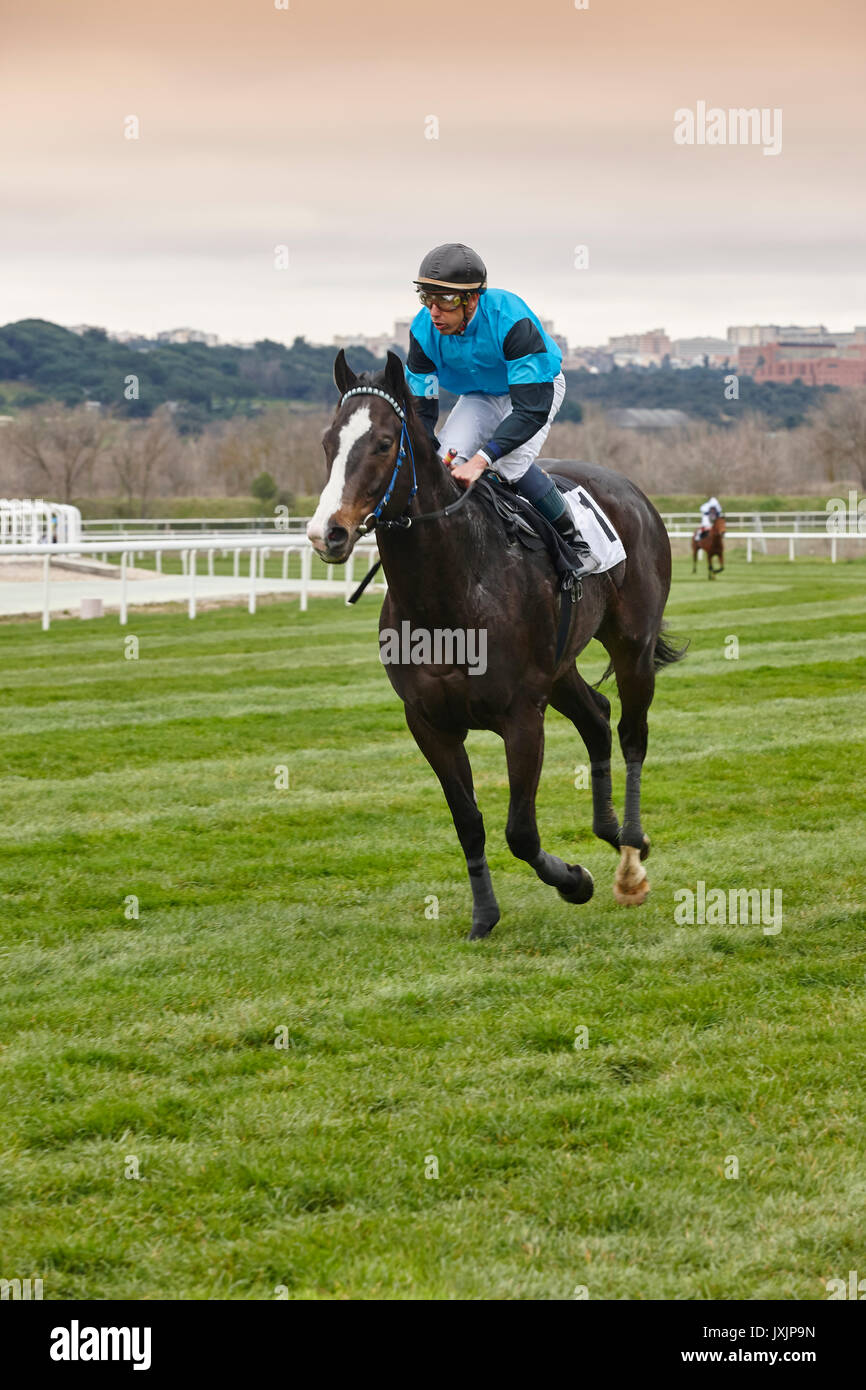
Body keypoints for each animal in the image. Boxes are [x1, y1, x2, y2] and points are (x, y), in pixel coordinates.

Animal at [307, 350, 686, 939]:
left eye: (385, 442)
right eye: (329, 442)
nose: (328, 533)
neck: (450, 592)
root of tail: (629, 489)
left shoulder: (521, 716)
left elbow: (521, 831)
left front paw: (575, 881)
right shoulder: (429, 723)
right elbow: (469, 823)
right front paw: (484, 915)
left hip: (632, 646)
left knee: (630, 735)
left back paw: (630, 859)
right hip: (560, 667)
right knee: (597, 718)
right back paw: (608, 829)